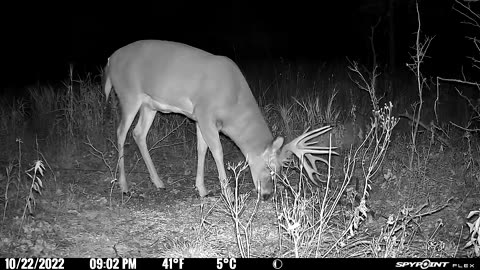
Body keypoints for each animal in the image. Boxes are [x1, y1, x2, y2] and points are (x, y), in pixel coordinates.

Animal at [103, 40, 336, 200]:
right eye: (272, 169)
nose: (267, 195)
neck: (234, 101)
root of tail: (110, 59)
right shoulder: (206, 113)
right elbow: (217, 151)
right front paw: (228, 192)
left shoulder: (199, 118)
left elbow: (201, 149)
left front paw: (202, 189)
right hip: (128, 95)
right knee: (121, 132)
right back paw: (124, 186)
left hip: (150, 105)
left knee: (138, 133)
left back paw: (159, 182)